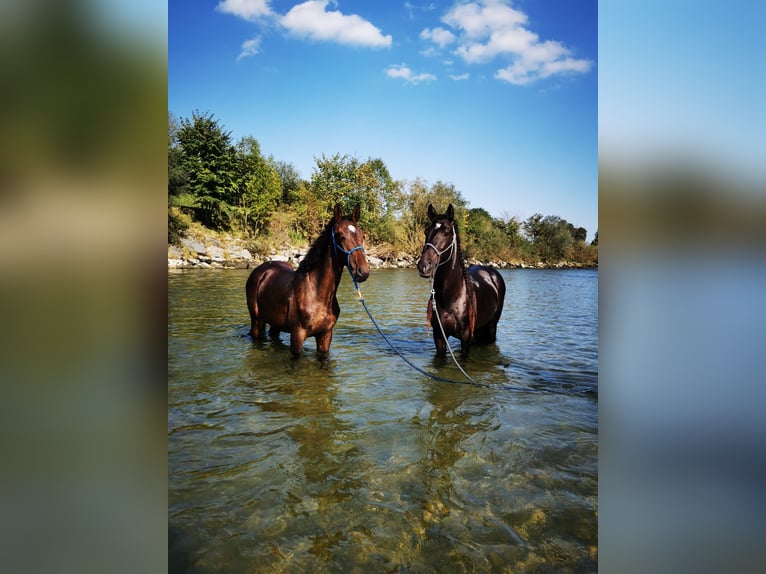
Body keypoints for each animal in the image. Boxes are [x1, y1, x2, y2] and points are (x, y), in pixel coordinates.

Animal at [244, 205, 368, 358]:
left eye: (362, 236)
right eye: (341, 236)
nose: (363, 272)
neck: (317, 293)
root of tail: (260, 271)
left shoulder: (325, 336)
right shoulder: (297, 336)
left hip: (275, 324)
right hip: (256, 321)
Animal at [416, 205, 508, 360]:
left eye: (447, 232)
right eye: (426, 231)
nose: (424, 265)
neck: (451, 297)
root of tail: (491, 272)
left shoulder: (465, 338)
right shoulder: (439, 337)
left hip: (492, 326)